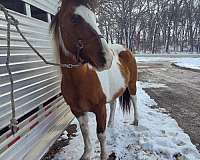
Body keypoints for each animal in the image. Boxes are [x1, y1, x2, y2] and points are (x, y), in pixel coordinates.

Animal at [49, 0, 138, 159]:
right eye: (75, 18)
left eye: (94, 17)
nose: (107, 58)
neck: (79, 81)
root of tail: (125, 49)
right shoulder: (77, 110)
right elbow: (85, 131)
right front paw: (87, 154)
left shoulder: (100, 108)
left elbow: (101, 135)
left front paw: (104, 155)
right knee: (114, 104)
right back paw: (111, 124)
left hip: (132, 84)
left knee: (134, 100)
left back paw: (136, 121)